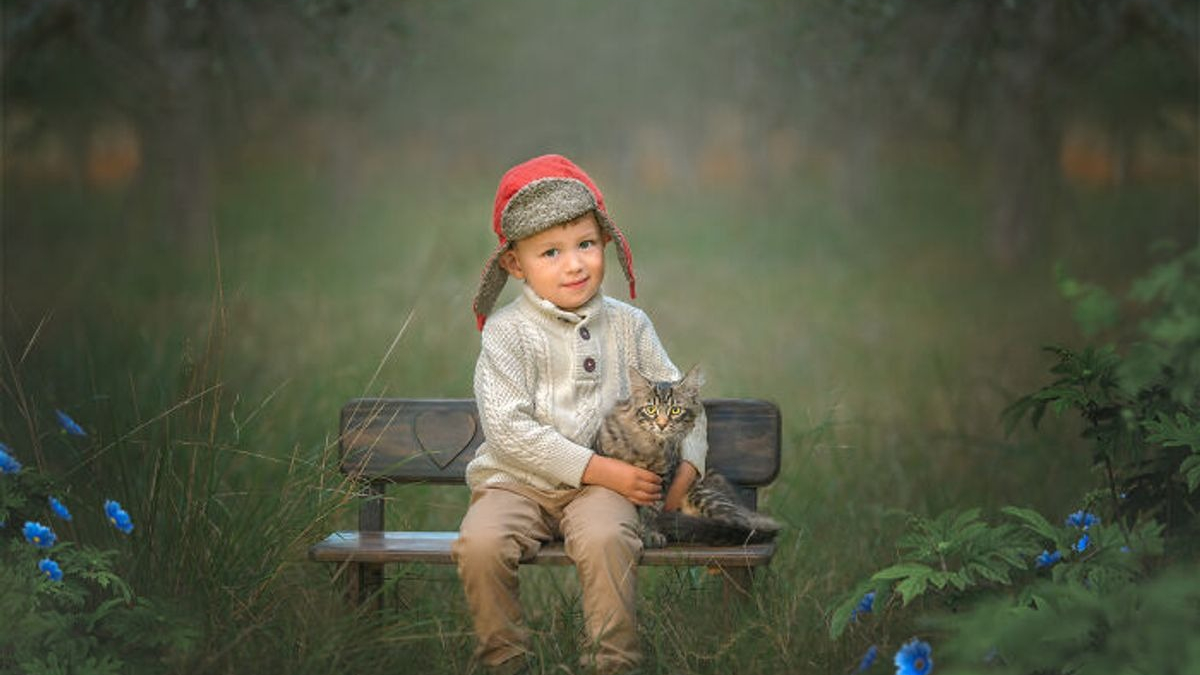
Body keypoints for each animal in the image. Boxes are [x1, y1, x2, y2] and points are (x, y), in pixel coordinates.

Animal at [595, 365, 782, 542]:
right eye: (651, 410)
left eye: (675, 411)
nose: (662, 425)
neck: (648, 445)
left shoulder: (662, 477)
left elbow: (651, 510)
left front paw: (649, 532)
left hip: (703, 495)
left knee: (741, 526)